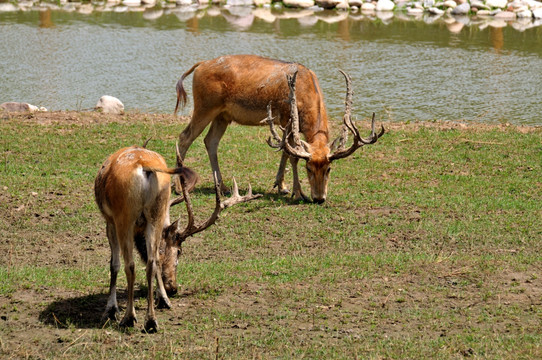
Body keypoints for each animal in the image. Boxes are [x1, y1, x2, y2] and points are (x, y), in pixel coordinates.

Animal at [95, 143, 262, 332]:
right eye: (180, 251)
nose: (173, 287)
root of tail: (145, 167)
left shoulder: (110, 221)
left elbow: (114, 264)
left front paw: (111, 310)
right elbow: (156, 260)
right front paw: (163, 299)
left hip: (124, 216)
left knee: (130, 265)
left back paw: (129, 318)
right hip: (156, 213)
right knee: (152, 262)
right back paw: (151, 320)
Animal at [175, 54, 386, 204]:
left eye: (329, 168)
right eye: (308, 168)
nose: (319, 198)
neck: (308, 91)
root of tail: (200, 65)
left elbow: (285, 152)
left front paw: (281, 185)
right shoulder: (286, 118)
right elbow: (292, 155)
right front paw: (298, 192)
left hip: (222, 116)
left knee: (210, 141)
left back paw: (223, 187)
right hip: (205, 107)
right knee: (185, 137)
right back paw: (179, 187)